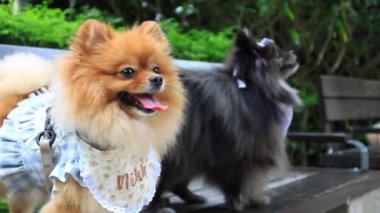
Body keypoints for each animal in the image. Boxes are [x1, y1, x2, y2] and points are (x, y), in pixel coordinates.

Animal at [150, 28, 302, 211]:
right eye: (278, 53)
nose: (293, 52)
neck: (253, 86)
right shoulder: (235, 154)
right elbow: (239, 182)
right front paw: (239, 202)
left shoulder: (251, 152)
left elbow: (255, 180)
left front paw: (256, 200)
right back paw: (159, 206)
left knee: (177, 183)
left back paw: (191, 198)